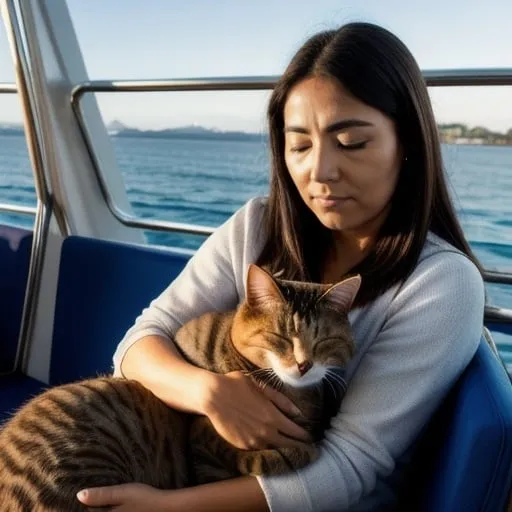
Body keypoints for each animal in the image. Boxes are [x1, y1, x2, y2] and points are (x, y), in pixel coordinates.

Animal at [0, 264, 360, 512]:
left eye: (325, 341)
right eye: (280, 337)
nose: (303, 364)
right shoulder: (208, 447)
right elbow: (270, 458)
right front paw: (300, 449)